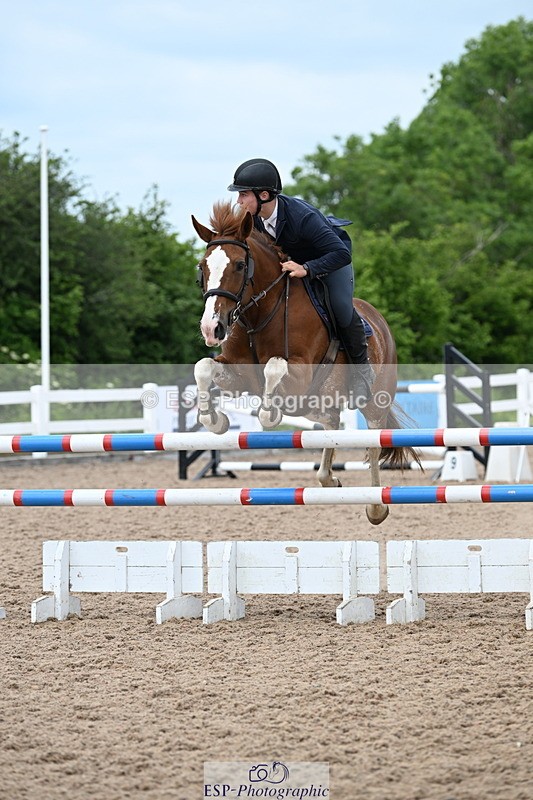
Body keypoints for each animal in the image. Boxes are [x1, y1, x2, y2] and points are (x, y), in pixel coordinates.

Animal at [191, 201, 419, 525]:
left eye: (239, 265)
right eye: (203, 268)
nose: (213, 328)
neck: (261, 314)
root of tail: (379, 321)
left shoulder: (299, 373)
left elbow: (274, 367)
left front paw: (269, 414)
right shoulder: (239, 375)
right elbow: (203, 367)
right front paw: (214, 419)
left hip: (375, 401)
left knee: (373, 442)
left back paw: (376, 507)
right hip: (321, 401)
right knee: (331, 426)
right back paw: (330, 481)